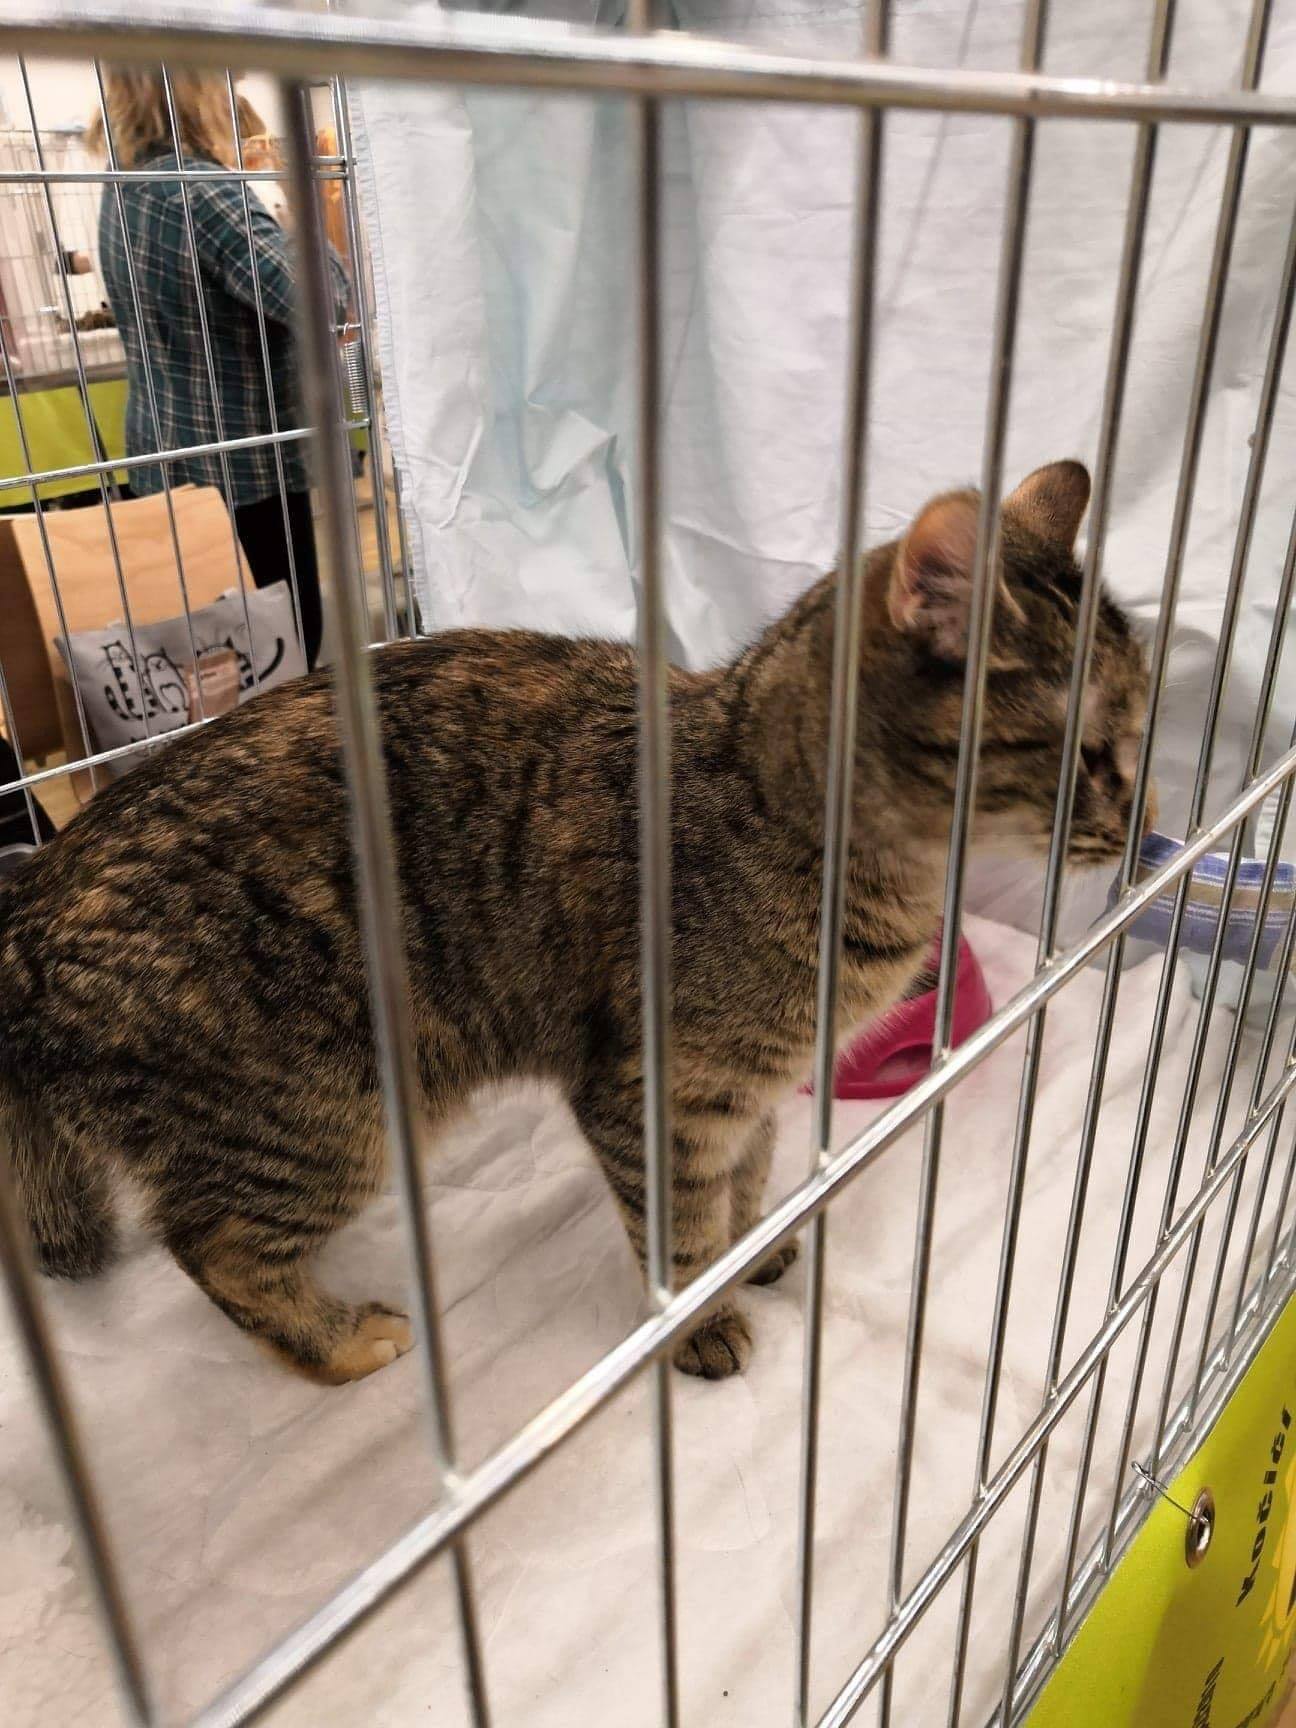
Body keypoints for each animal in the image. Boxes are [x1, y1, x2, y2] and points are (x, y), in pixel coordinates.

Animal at [0, 460, 1151, 1384]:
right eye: (1090, 752)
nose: (1145, 823)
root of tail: (37, 889)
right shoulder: (650, 1090)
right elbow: (680, 1228)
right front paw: (702, 1318)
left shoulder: (750, 1090)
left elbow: (747, 1177)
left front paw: (756, 1243)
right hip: (316, 1114)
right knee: (215, 1246)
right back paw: (340, 1342)